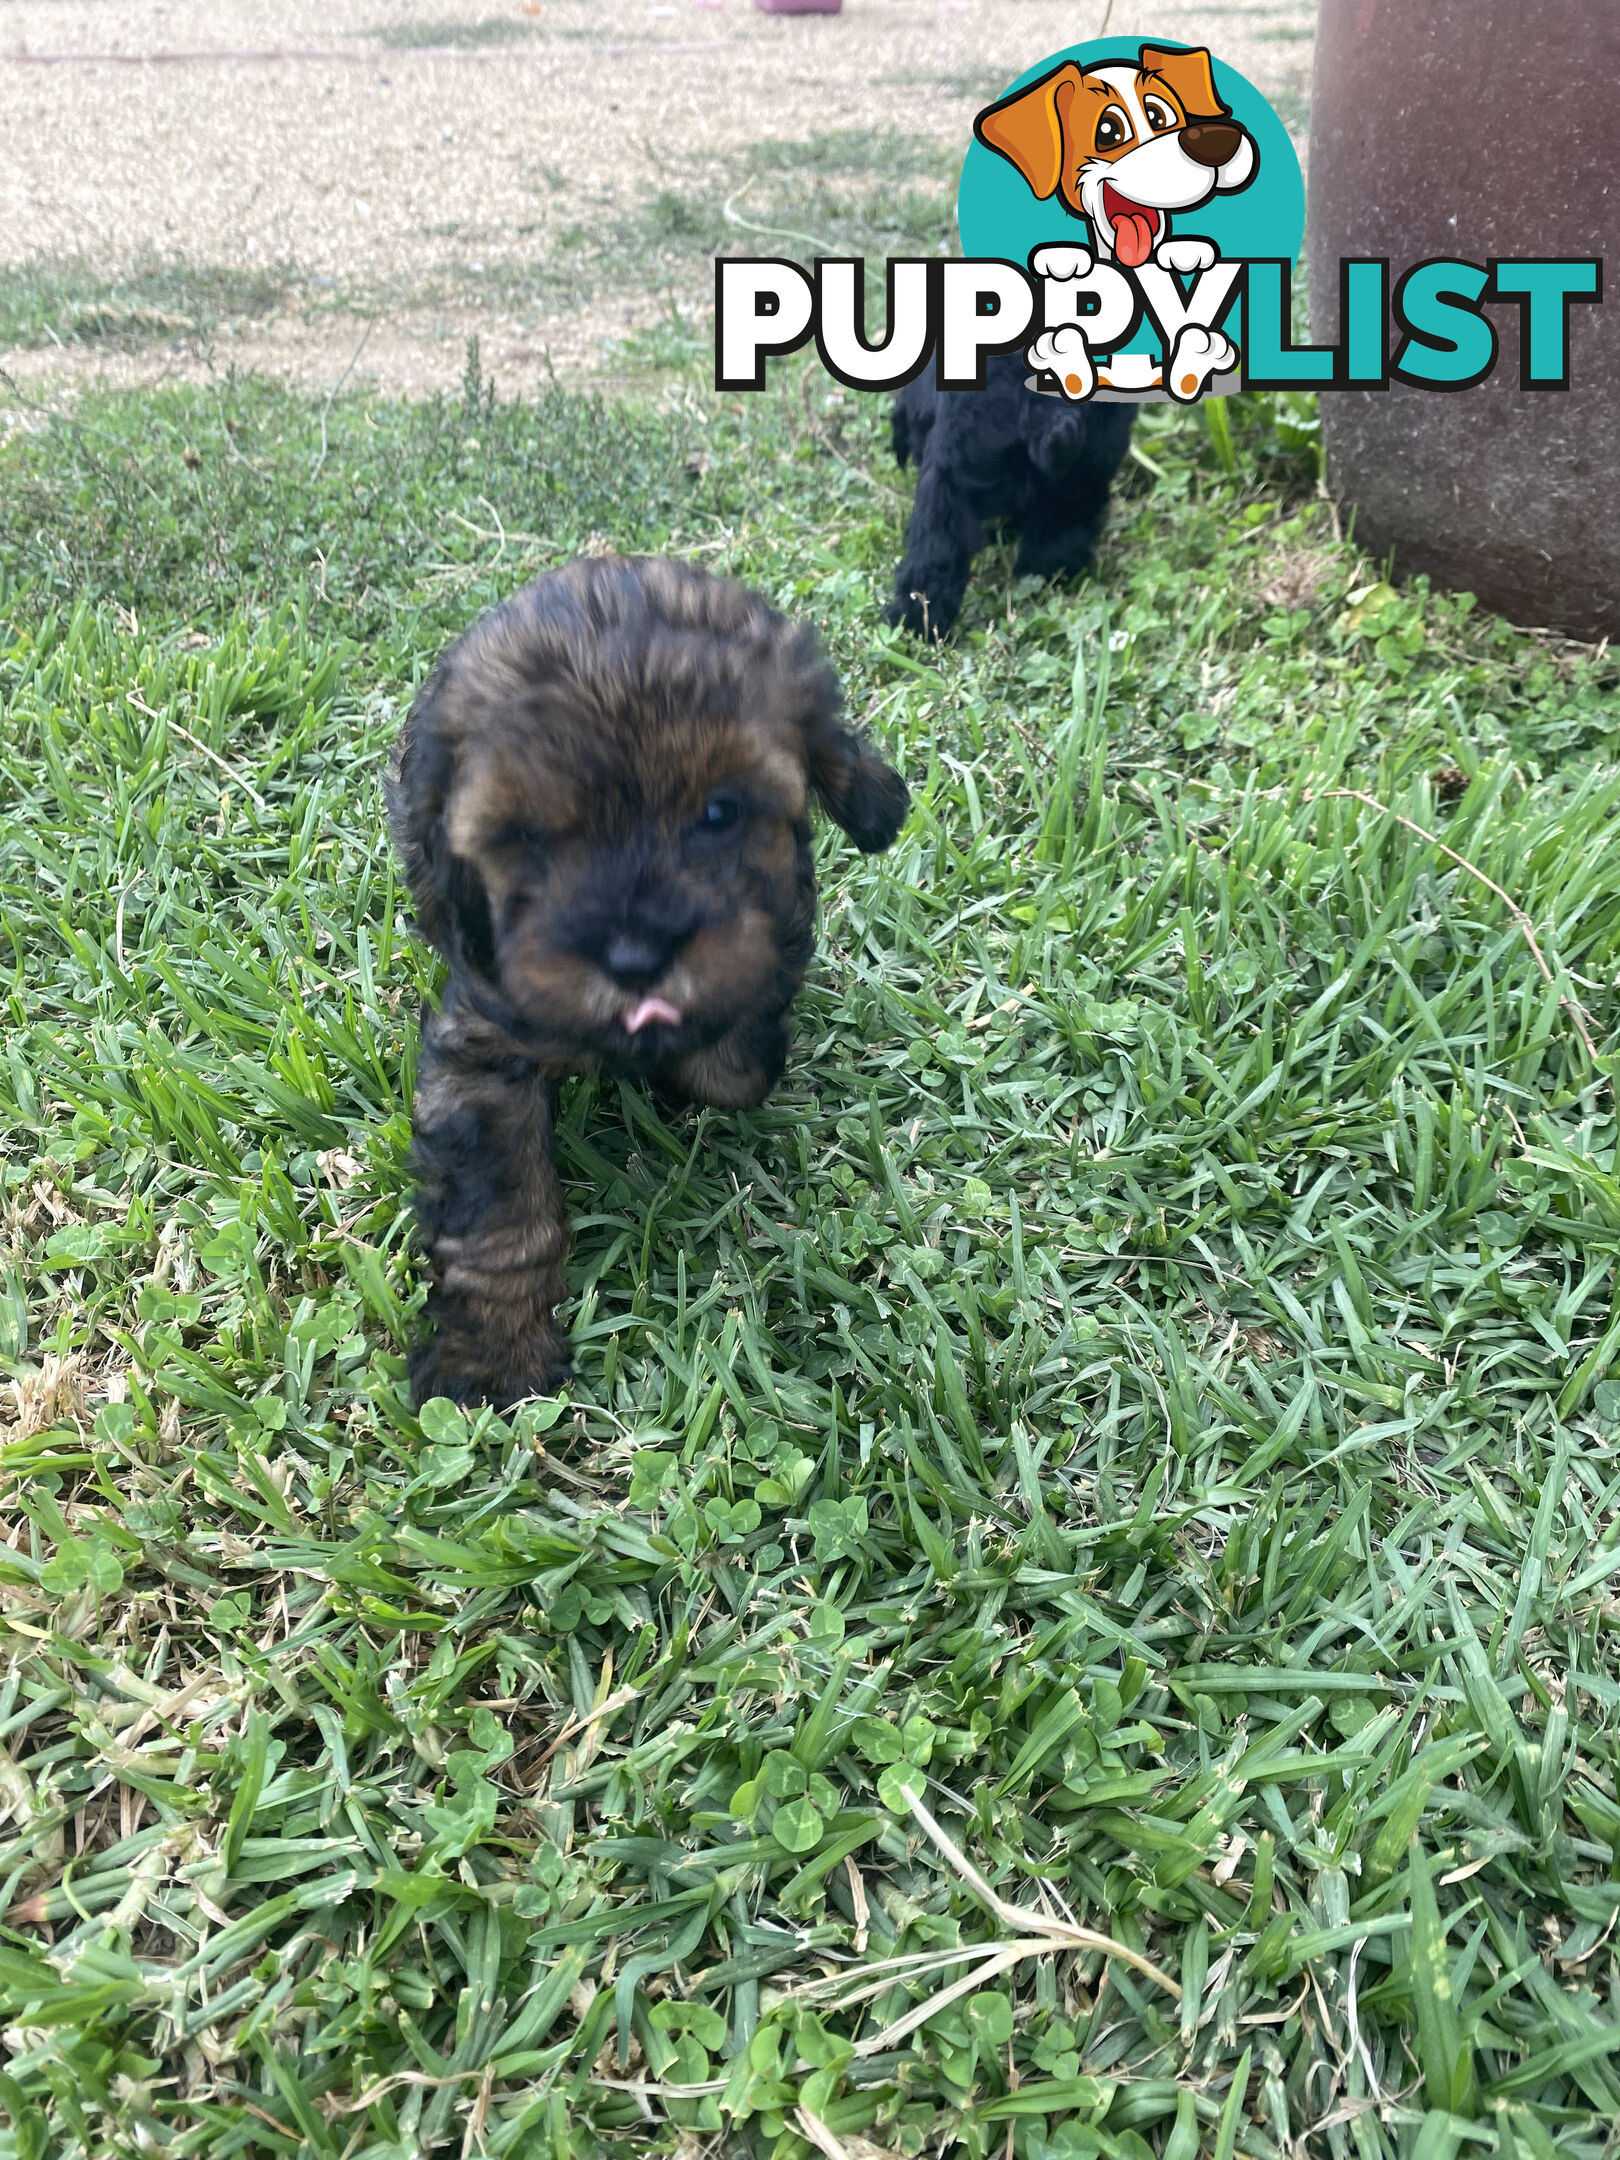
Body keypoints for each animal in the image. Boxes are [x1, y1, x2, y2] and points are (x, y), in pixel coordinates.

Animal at [384, 548, 907, 1408]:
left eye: (720, 812)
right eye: (527, 837)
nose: (634, 961)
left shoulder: (776, 934)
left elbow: (740, 1056)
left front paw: (701, 1063)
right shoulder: (484, 1050)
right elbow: (500, 1217)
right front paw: (492, 1353)